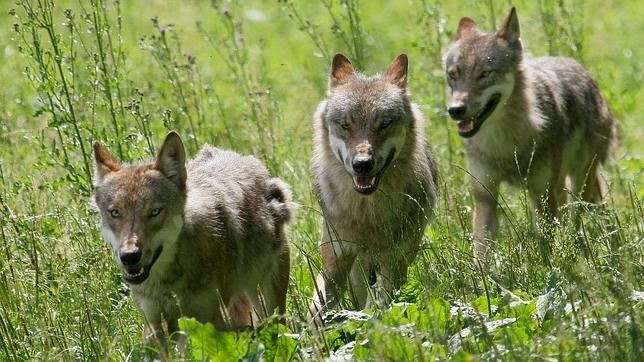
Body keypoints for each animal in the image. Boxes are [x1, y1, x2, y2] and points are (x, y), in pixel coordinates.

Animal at [92, 132, 294, 346]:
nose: (129, 256)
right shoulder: (156, 322)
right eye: (115, 212)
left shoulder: (206, 320)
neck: (167, 281)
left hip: (268, 304)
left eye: (155, 212)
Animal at [310, 52, 440, 318]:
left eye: (384, 124)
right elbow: (314, 312)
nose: (362, 164)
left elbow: (377, 307)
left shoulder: (394, 262)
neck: (367, 213)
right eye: (345, 125)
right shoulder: (335, 262)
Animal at [446, 7, 616, 262]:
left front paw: (548, 270)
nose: (455, 110)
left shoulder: (541, 195)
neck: (506, 143)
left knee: (576, 221)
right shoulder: (485, 197)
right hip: (561, 185)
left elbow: (545, 248)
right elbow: (481, 254)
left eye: (485, 74)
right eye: (453, 75)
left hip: (579, 185)